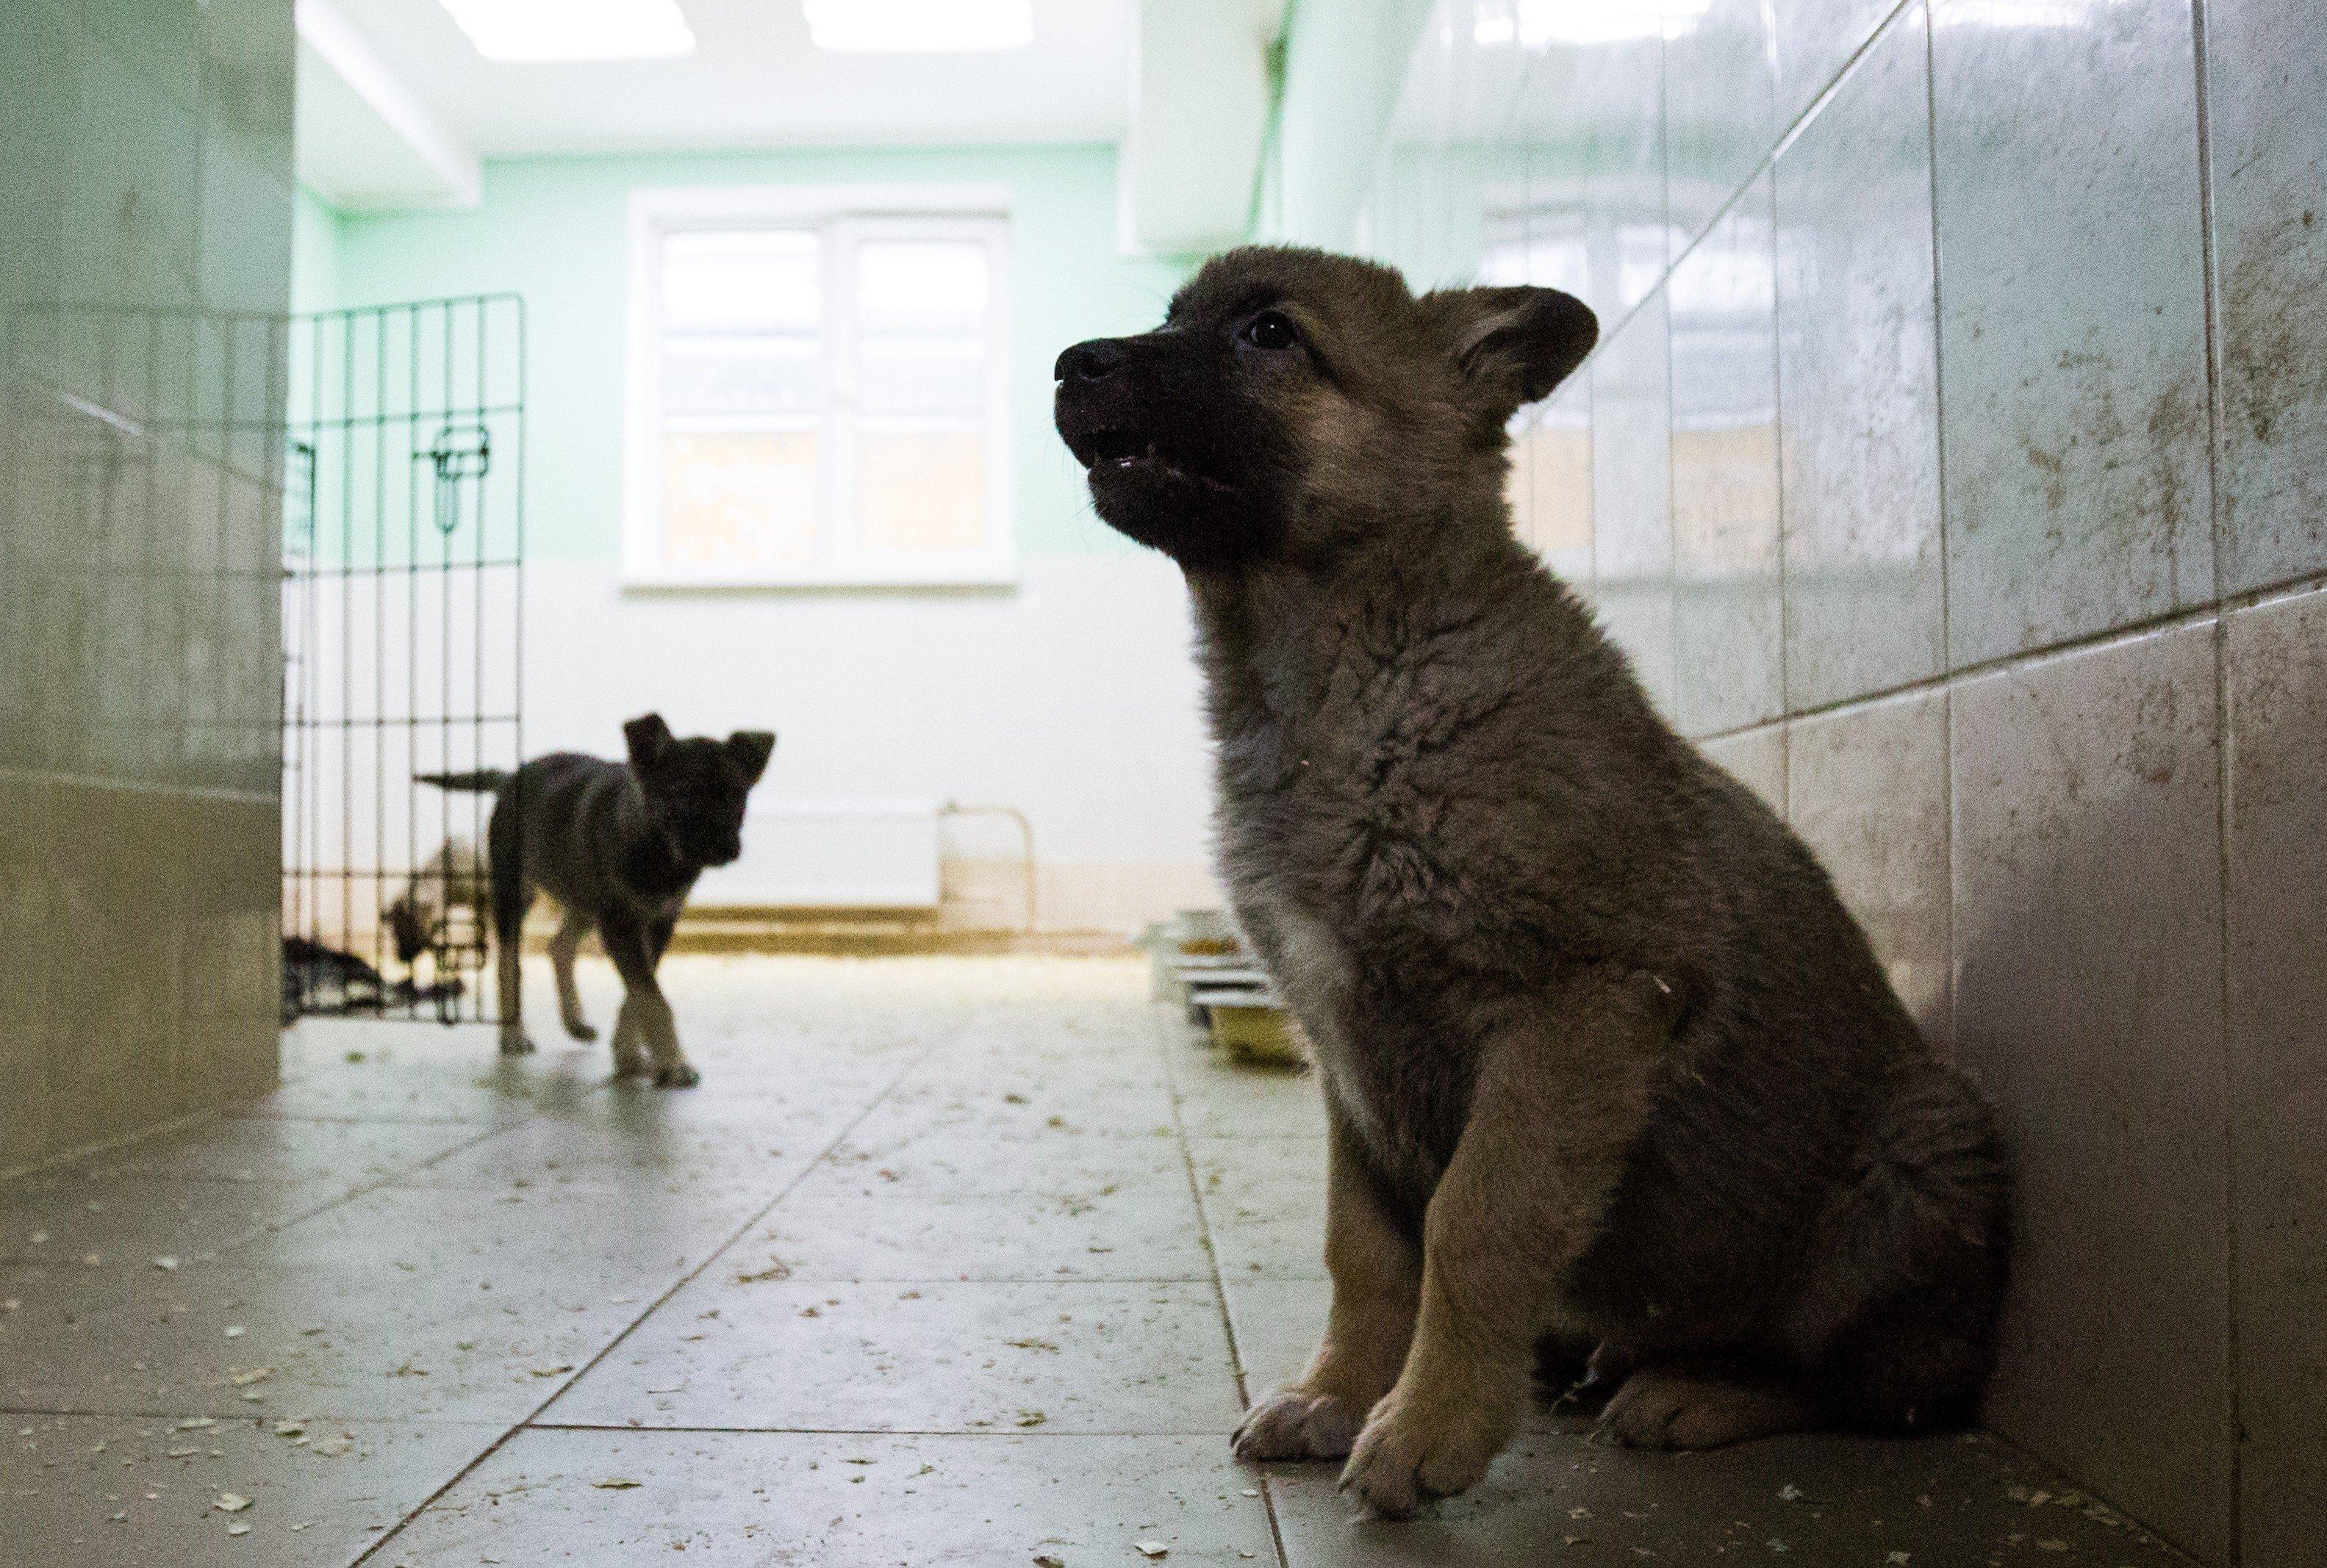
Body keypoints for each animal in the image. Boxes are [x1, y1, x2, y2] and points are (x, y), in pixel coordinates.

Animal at [423, 716, 777, 1079]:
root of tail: (508, 778)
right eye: (682, 795)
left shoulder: (658, 921)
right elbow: (651, 997)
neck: (658, 851)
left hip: (584, 898)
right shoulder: (620, 923)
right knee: (509, 965)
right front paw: (673, 1063)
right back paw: (513, 1036)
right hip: (516, 892)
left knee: (559, 946)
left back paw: (575, 1022)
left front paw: (630, 1053)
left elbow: (639, 992)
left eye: (738, 794)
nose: (726, 848)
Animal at [1056, 248, 2001, 1517]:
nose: (1069, 364)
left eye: (1268, 334)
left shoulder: (1575, 1006)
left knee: (1865, 1383)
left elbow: (1476, 1223)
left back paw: (1698, 1388)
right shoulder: (1349, 1055)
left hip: (1918, 1158)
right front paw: (1338, 1391)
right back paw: (1584, 1354)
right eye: (1170, 315)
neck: (1351, 668)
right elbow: (1364, 1248)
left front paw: (1428, 1426)